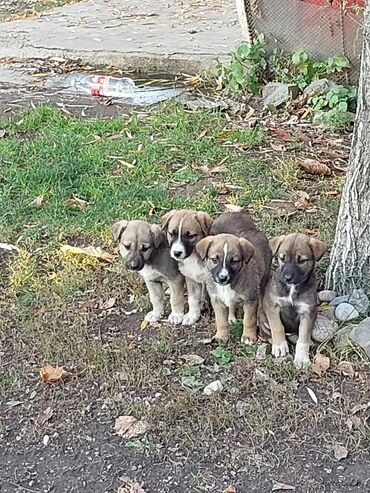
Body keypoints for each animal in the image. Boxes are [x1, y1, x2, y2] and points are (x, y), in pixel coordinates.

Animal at [197, 210, 272, 342]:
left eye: (234, 261)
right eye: (214, 259)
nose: (222, 278)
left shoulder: (250, 299)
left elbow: (249, 320)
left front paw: (248, 336)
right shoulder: (217, 300)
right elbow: (220, 321)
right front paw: (221, 336)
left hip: (264, 278)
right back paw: (231, 317)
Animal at [260, 233, 326, 368]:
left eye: (301, 261)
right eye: (282, 258)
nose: (287, 278)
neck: (292, 288)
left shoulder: (308, 312)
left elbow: (303, 337)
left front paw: (301, 358)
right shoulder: (272, 305)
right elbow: (277, 326)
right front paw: (279, 346)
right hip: (262, 318)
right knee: (268, 333)